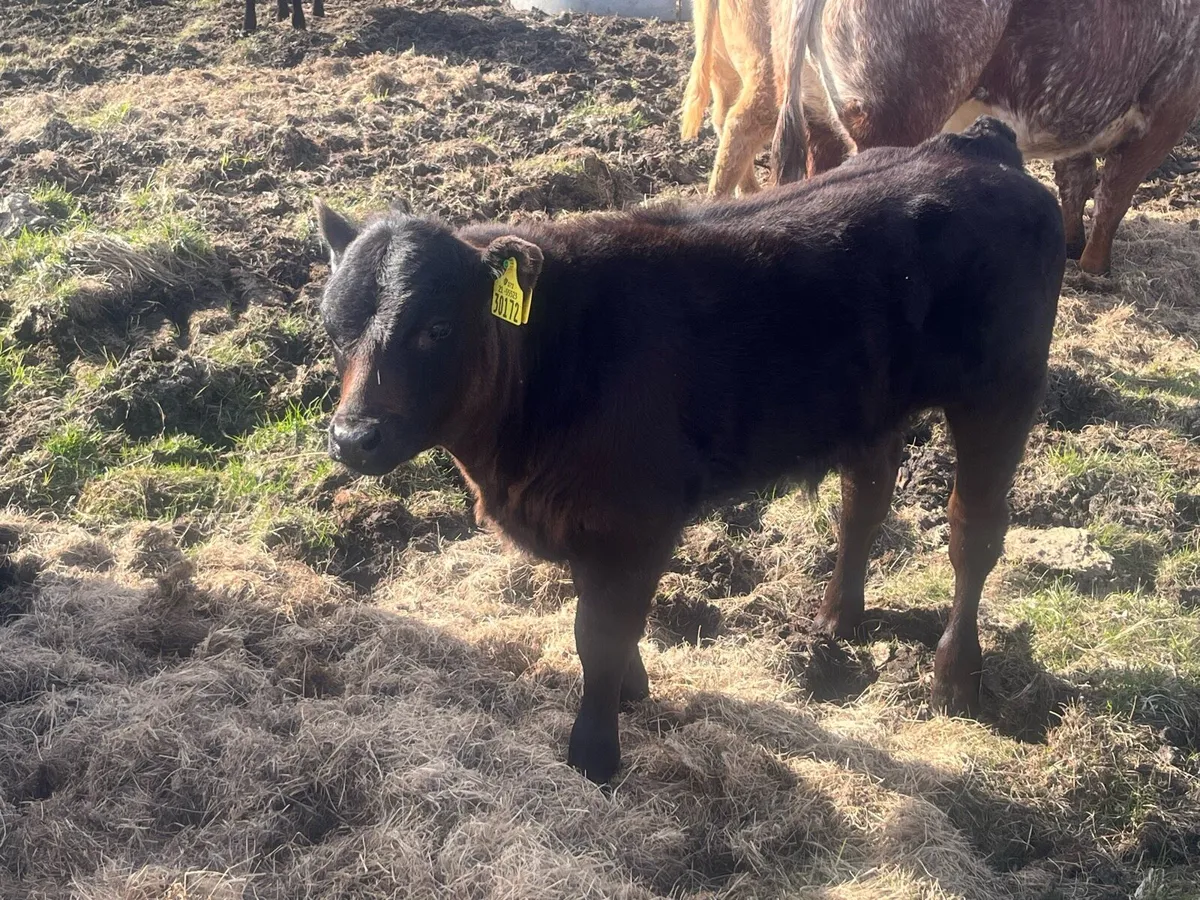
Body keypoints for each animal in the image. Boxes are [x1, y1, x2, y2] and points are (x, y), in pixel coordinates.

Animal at [314, 117, 1065, 784]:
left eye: (436, 328)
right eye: (332, 327)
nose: (353, 437)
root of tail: (975, 146)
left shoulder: (634, 517)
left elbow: (599, 634)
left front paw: (594, 755)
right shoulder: (587, 517)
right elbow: (601, 623)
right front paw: (631, 692)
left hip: (1004, 388)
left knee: (974, 531)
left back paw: (954, 677)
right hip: (872, 403)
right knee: (866, 499)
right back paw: (836, 616)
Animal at [770, 0, 1200, 275]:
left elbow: (1075, 181)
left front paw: (1072, 248)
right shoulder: (1169, 111)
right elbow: (1114, 196)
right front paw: (1096, 270)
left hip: (816, 116)